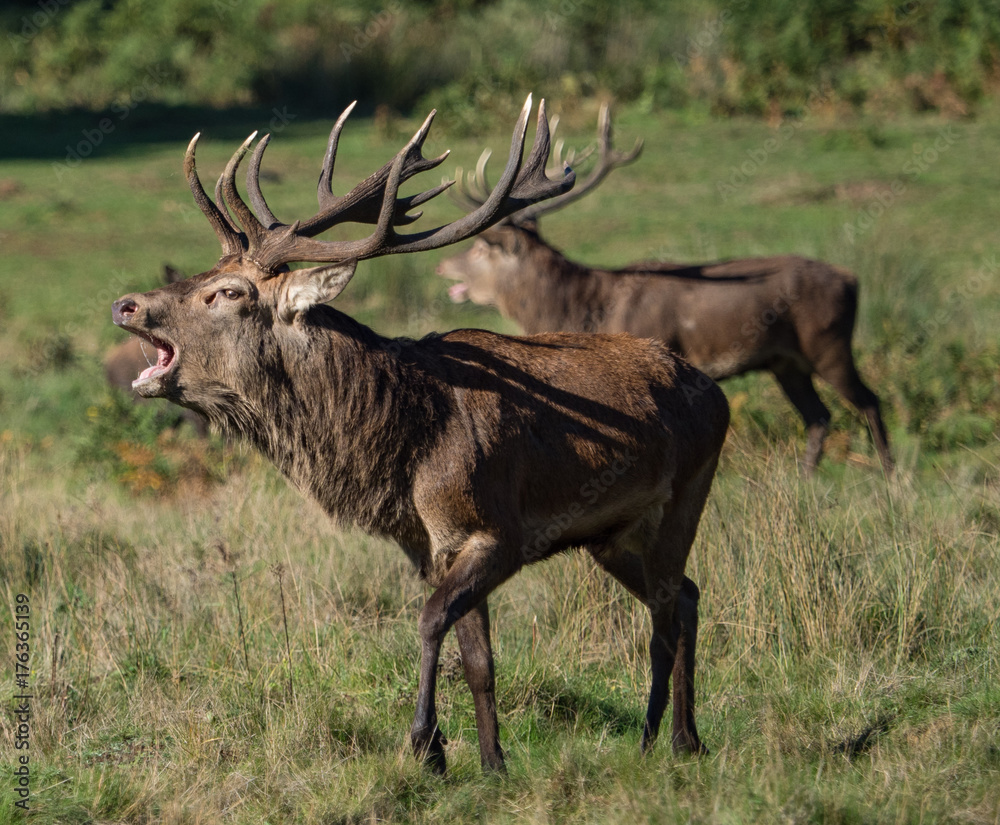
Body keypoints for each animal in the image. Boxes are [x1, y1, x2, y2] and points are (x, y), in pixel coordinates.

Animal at [110, 97, 730, 775]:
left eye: (227, 291)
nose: (127, 304)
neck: (407, 449)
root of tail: (714, 390)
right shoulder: (433, 547)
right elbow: (479, 659)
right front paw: (492, 763)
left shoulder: (498, 531)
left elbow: (431, 621)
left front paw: (426, 744)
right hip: (610, 536)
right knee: (685, 597)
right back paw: (675, 737)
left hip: (686, 495)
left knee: (669, 609)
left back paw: (669, 737)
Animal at [437, 105, 893, 475]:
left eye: (482, 248)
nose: (444, 264)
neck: (585, 308)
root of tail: (852, 279)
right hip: (786, 362)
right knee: (818, 416)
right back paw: (807, 478)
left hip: (828, 342)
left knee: (869, 400)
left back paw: (889, 477)